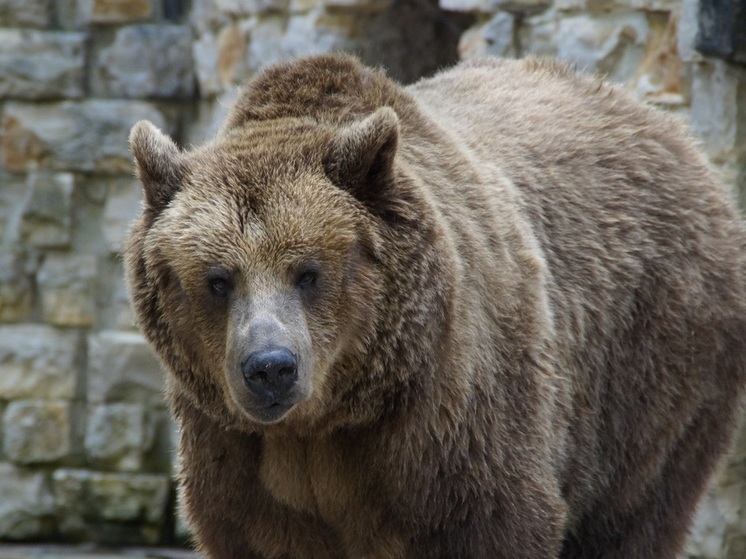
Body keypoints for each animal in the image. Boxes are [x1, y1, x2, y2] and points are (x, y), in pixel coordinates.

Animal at [123, 54, 744, 559]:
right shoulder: (240, 461)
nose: (270, 368)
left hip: (652, 367)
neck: (329, 422)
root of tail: (672, 133)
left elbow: (497, 521)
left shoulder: (452, 434)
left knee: (635, 509)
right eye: (217, 280)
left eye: (309, 272)